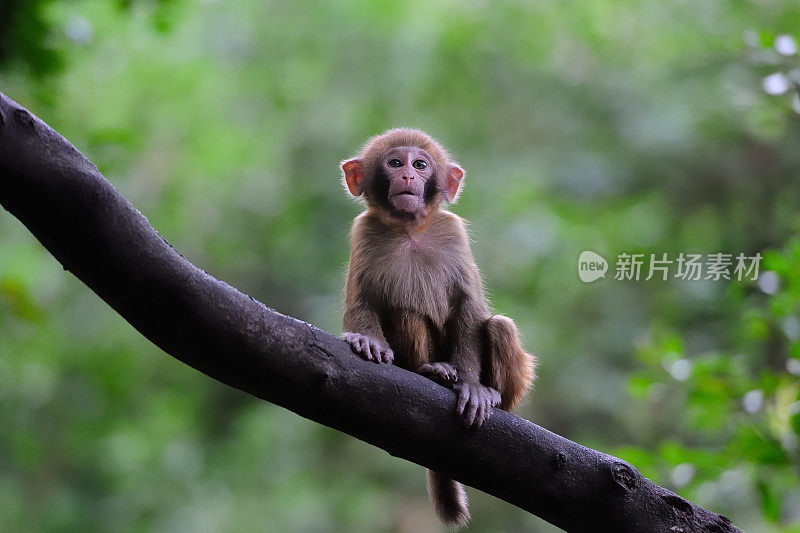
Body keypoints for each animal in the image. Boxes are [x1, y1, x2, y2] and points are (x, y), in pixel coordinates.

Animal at [340, 128, 536, 528]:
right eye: (394, 162)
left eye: (420, 164)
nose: (407, 175)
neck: (409, 228)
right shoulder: (363, 233)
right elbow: (361, 302)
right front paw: (366, 340)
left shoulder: (454, 233)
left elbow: (469, 310)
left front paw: (473, 386)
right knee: (408, 314)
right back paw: (434, 371)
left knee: (499, 326)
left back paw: (490, 393)